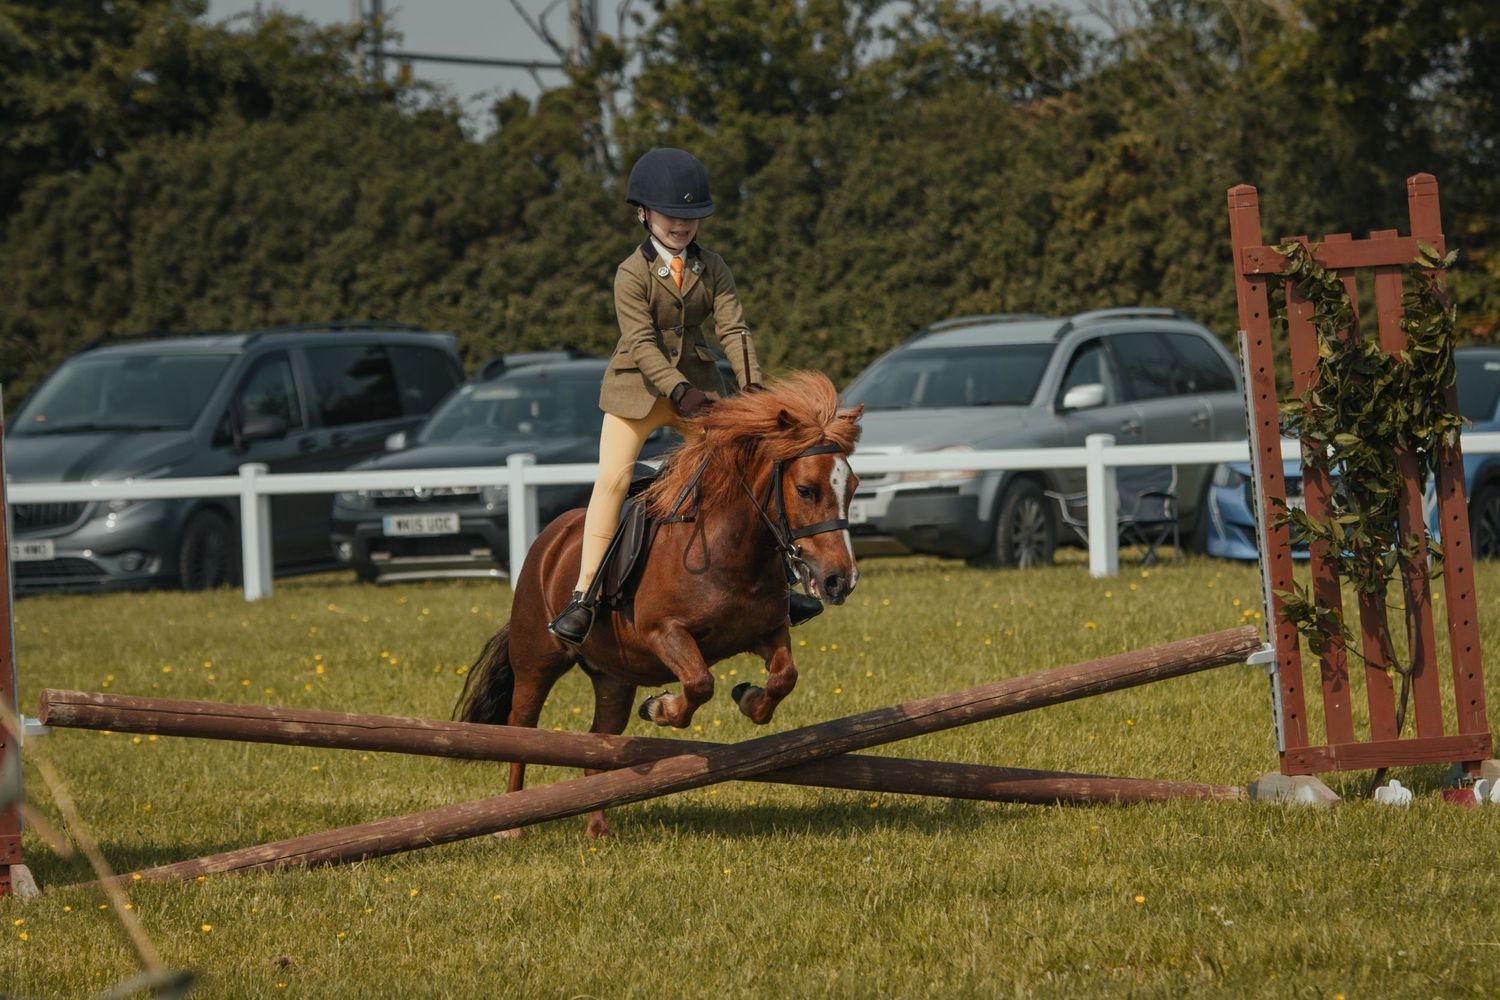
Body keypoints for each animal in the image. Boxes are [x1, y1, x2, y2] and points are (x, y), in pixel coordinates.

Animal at [456, 371, 864, 838]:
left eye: (853, 488)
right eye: (805, 490)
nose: (841, 580)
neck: (730, 549)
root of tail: (549, 540)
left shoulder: (768, 631)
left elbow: (784, 678)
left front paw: (748, 698)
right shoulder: (663, 632)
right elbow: (700, 682)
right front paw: (663, 708)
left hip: (614, 676)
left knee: (600, 742)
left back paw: (598, 830)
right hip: (537, 662)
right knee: (521, 728)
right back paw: (510, 824)